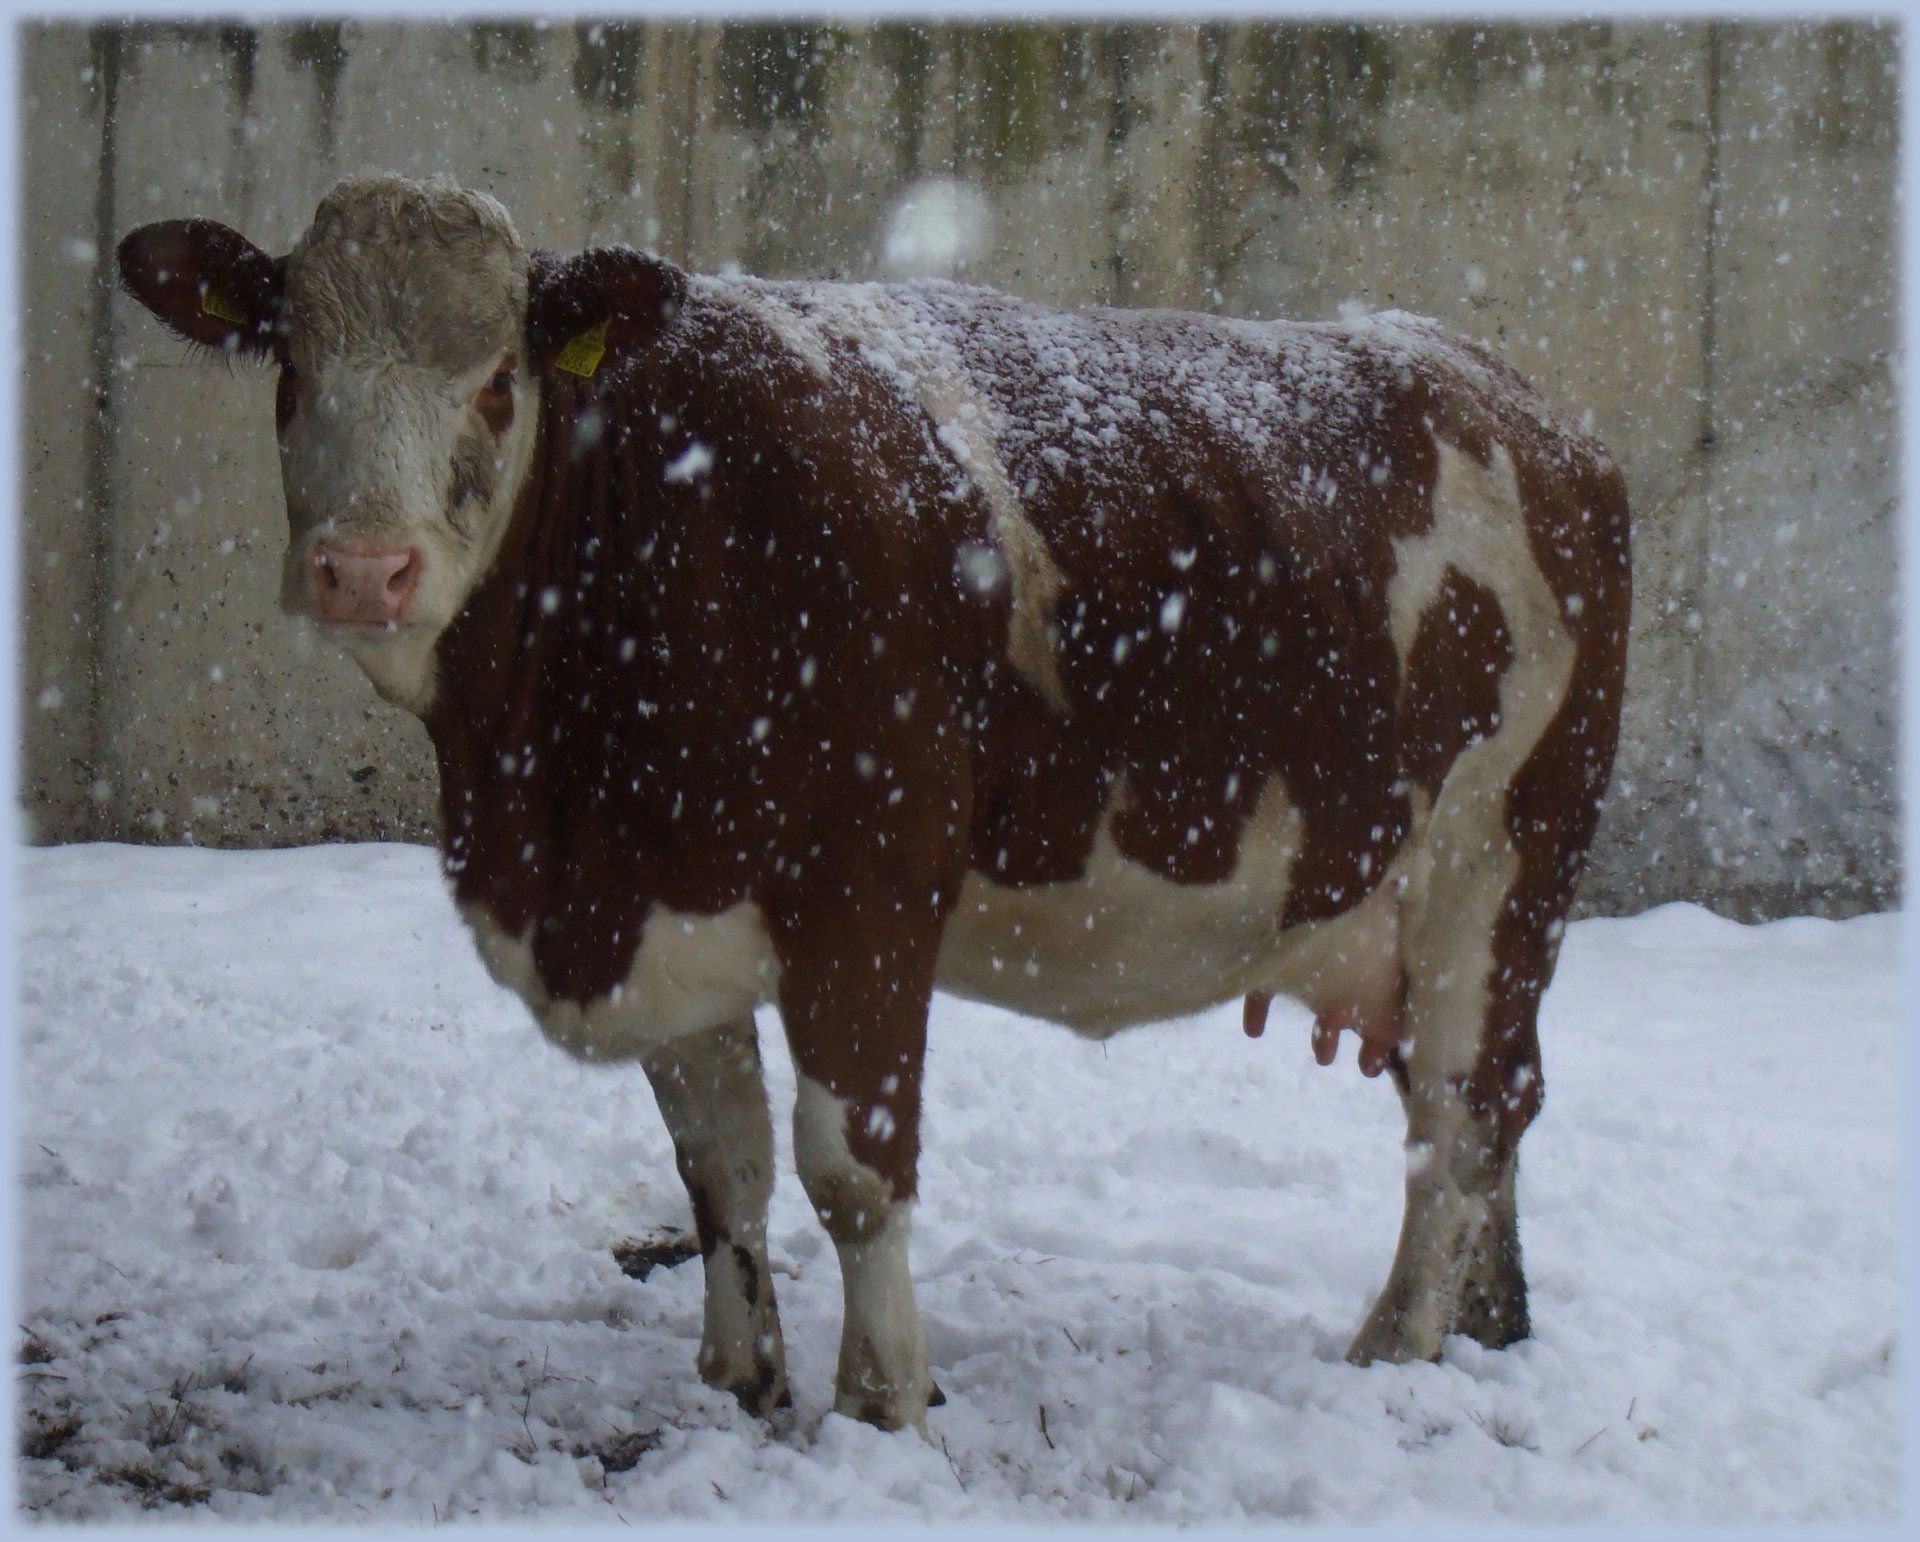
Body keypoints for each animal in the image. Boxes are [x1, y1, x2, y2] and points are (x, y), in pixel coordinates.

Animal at [117, 174, 1630, 1434]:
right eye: (291, 368)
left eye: (498, 382)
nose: (362, 569)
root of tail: (1527, 407)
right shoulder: (670, 894)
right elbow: (719, 1166)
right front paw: (740, 1378)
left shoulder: (867, 889)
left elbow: (852, 1165)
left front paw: (882, 1396)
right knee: (1483, 1105)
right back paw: (1492, 1322)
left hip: (1500, 862)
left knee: (1462, 1110)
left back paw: (1401, 1344)